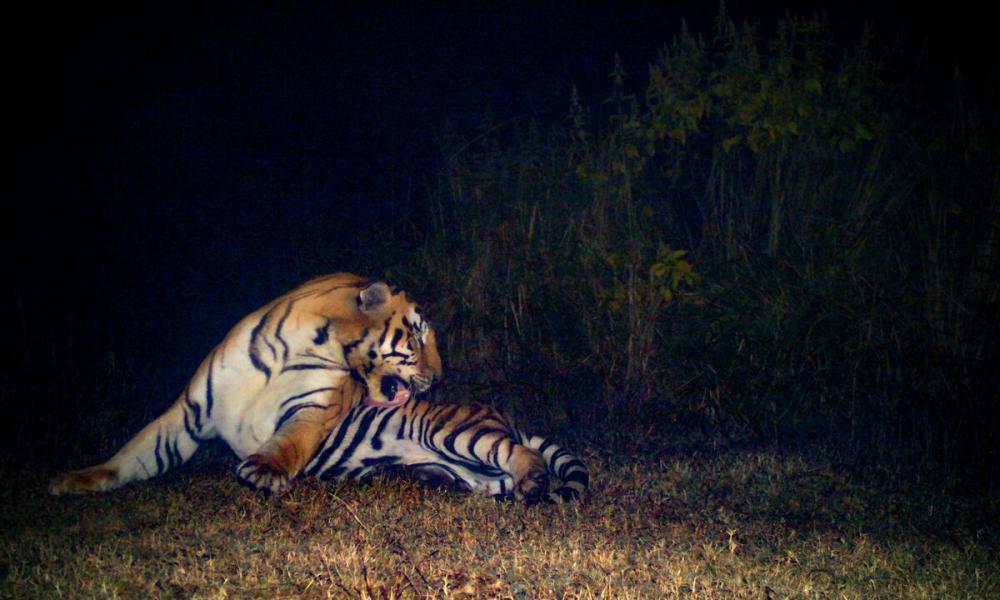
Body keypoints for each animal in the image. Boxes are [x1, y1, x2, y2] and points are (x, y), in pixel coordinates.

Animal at [48, 274, 442, 494]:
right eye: (418, 336)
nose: (439, 376)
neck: (311, 343)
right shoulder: (190, 412)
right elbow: (137, 451)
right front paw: (81, 478)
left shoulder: (314, 408)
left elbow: (290, 440)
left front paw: (265, 469)